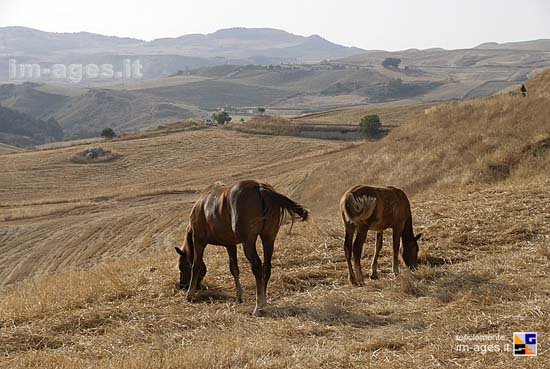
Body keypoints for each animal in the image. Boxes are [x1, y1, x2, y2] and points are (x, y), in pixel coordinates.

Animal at [175, 180, 308, 314]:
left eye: (181, 266)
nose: (182, 285)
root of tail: (260, 187)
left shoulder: (199, 241)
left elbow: (196, 265)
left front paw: (189, 294)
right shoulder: (230, 244)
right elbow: (234, 268)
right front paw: (239, 296)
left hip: (248, 242)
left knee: (257, 266)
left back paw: (259, 305)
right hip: (268, 238)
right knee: (266, 266)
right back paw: (263, 300)